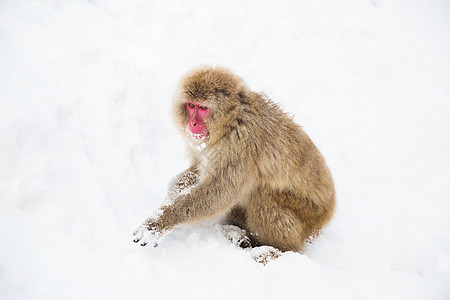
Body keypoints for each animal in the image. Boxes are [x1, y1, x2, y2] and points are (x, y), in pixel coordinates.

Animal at [132, 66, 336, 253]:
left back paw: (273, 251)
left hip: (306, 215)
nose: (193, 124)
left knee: (263, 195)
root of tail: (327, 215)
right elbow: (199, 168)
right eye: (191, 105)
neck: (230, 121)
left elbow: (221, 191)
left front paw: (160, 222)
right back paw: (237, 234)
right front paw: (174, 190)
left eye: (203, 108)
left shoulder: (240, 143)